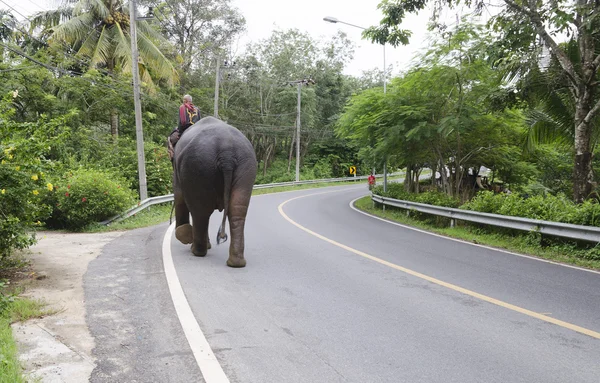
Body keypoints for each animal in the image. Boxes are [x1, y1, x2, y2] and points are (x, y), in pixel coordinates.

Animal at [172, 115, 258, 268]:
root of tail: (226, 152)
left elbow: (179, 198)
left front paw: (184, 235)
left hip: (197, 166)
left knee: (200, 212)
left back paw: (197, 251)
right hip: (247, 166)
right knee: (237, 210)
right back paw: (236, 263)